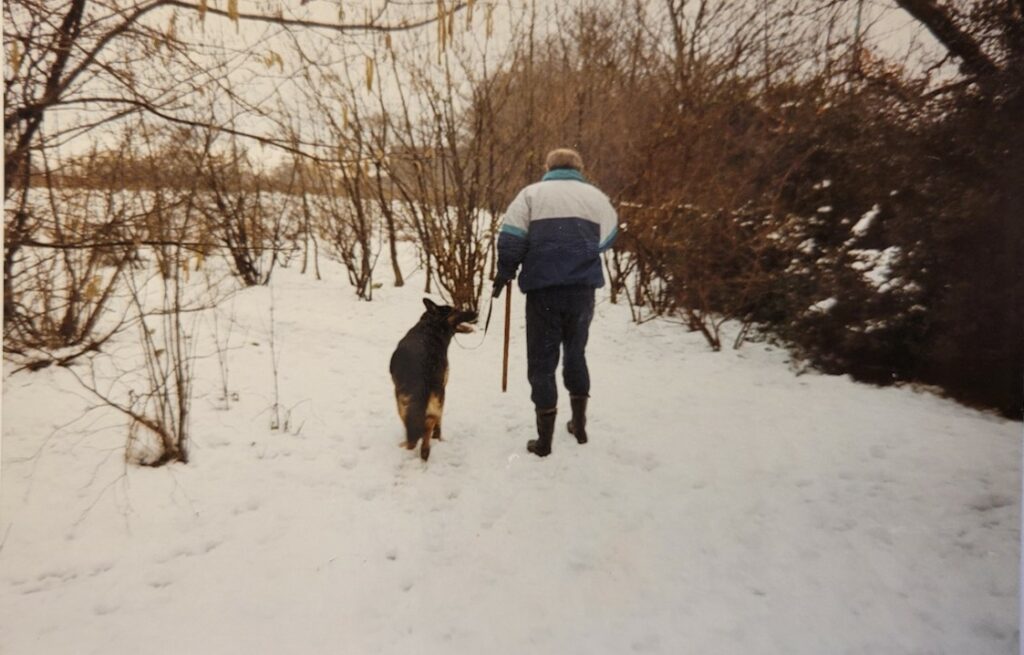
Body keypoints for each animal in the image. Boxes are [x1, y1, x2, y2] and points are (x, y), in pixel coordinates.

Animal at [389, 298, 477, 460]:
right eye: (456, 310)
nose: (476, 313)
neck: (431, 327)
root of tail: (421, 365)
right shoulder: (443, 388)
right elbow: (439, 420)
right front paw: (438, 437)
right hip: (436, 394)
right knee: (429, 421)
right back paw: (425, 449)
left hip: (401, 400)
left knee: (413, 424)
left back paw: (412, 446)